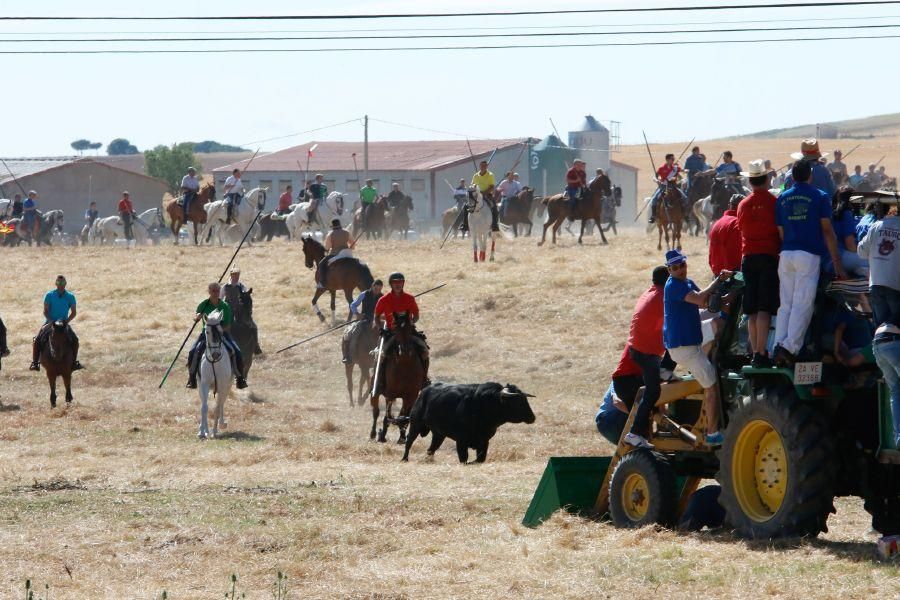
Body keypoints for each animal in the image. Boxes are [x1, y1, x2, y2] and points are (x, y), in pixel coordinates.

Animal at [370, 314, 426, 446]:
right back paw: (374, 433)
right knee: (376, 411)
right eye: (396, 330)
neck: (404, 364)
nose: (404, 350)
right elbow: (387, 415)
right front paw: (382, 435)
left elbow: (403, 415)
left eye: (410, 329)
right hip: (375, 390)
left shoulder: (411, 396)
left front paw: (402, 437)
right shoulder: (390, 395)